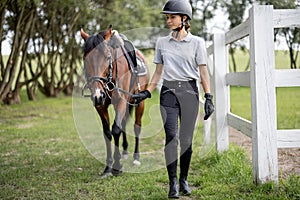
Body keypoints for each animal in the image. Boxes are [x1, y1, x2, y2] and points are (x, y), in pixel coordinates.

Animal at [80, 25, 150, 177]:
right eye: (85, 59)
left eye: (107, 57)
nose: (97, 94)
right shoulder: (100, 106)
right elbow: (107, 133)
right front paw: (108, 167)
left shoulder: (121, 102)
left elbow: (116, 130)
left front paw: (117, 167)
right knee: (123, 123)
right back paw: (124, 152)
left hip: (139, 102)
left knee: (136, 127)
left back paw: (136, 158)